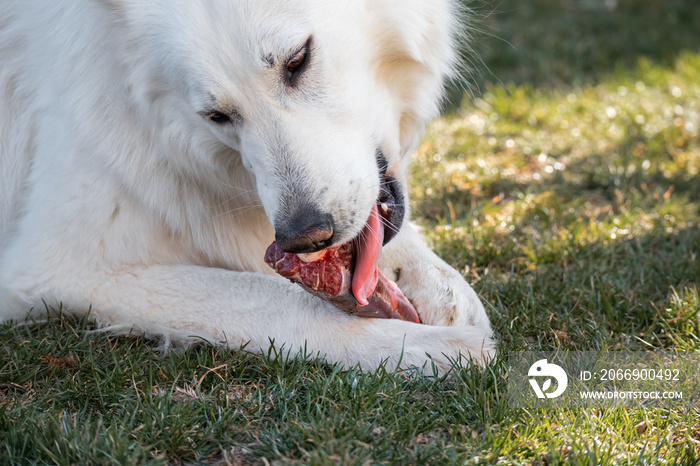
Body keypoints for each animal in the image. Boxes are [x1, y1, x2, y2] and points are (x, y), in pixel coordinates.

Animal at [0, 0, 492, 374]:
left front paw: (441, 287)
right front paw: (423, 347)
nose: (304, 237)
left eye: (298, 60)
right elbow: (277, 300)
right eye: (216, 116)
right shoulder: (59, 270)